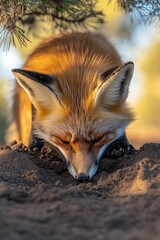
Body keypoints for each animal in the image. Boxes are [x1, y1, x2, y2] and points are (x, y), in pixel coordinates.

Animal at [6, 31, 134, 181]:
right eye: (63, 141)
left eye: (98, 139)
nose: (82, 177)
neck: (77, 63)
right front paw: (35, 144)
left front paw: (120, 145)